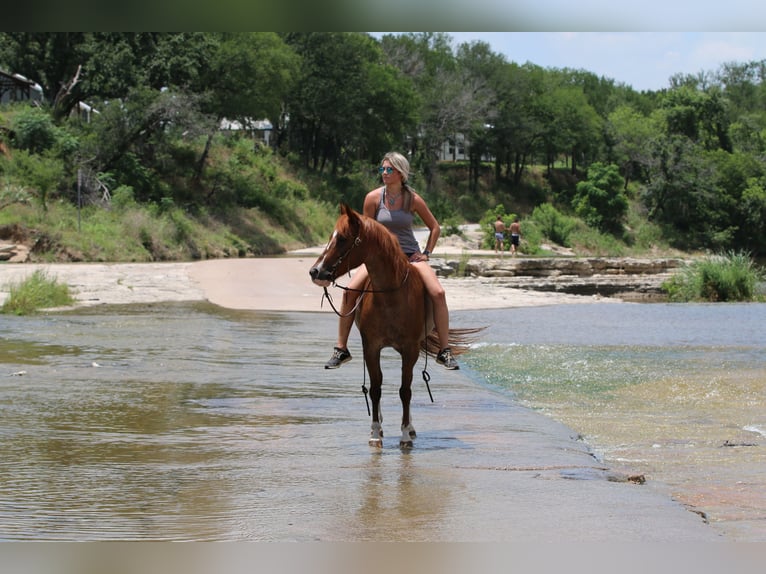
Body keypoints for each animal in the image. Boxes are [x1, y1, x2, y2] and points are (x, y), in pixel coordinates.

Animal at [308, 204, 480, 450]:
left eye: (341, 239)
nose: (315, 272)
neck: (390, 295)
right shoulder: (371, 347)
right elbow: (375, 389)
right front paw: (375, 433)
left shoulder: (409, 350)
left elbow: (405, 391)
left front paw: (405, 434)